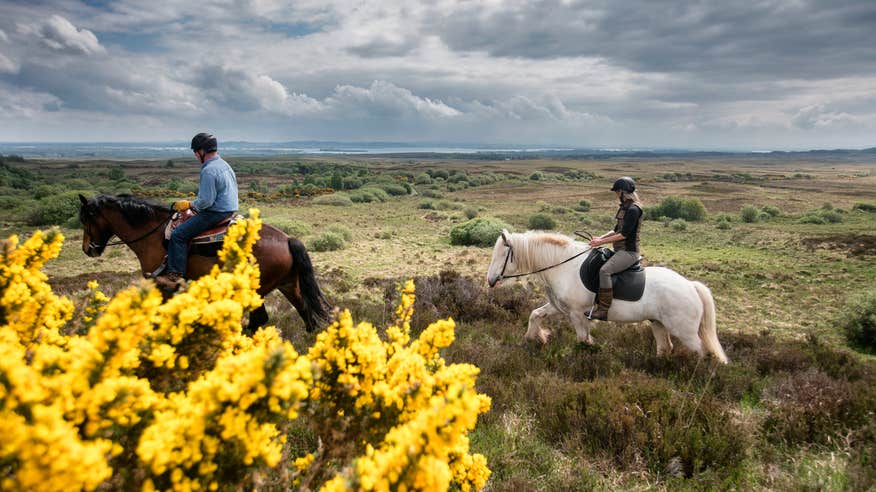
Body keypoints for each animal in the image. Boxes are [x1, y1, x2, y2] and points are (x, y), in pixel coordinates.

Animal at [77, 194, 330, 332]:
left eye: (85, 219)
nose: (88, 249)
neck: (153, 233)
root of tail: (288, 239)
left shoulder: (163, 283)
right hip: (288, 285)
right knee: (306, 313)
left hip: (257, 289)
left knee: (261, 319)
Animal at [482, 229, 728, 364]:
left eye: (503, 254)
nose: (491, 280)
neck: (564, 265)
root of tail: (691, 286)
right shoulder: (559, 308)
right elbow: (535, 315)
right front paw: (536, 338)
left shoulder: (576, 314)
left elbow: (583, 339)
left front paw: (586, 355)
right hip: (658, 323)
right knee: (665, 347)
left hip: (684, 330)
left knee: (700, 351)